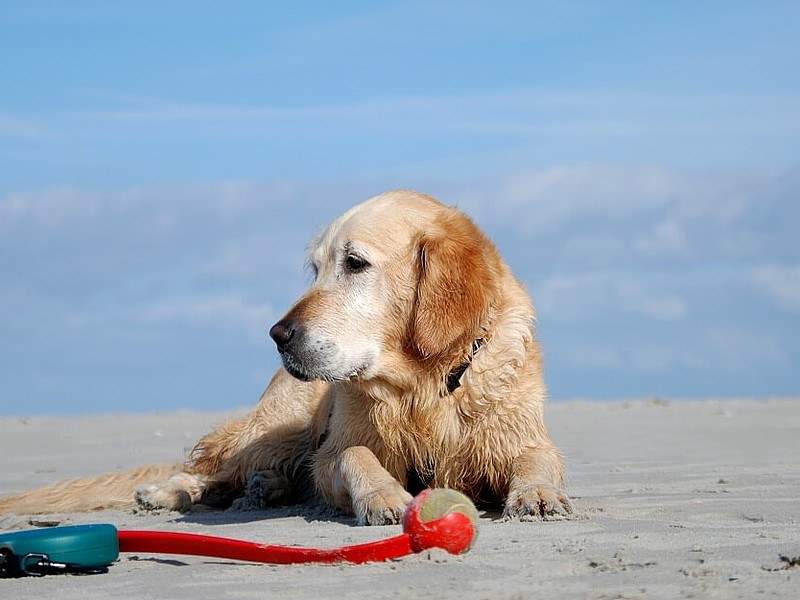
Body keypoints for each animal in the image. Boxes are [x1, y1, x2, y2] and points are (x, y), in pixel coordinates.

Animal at [3, 190, 572, 524]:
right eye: (315, 269)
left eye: (355, 263)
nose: (278, 335)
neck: (425, 387)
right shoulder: (337, 445)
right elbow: (353, 455)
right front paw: (384, 495)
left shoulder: (517, 434)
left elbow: (540, 459)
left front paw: (537, 494)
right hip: (279, 425)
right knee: (215, 468)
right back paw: (170, 492)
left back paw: (267, 488)